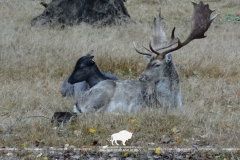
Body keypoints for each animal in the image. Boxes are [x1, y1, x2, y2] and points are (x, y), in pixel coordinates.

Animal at [68, 1, 218, 114]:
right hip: (102, 93)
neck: (169, 104)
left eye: (157, 64)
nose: (141, 77)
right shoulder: (136, 106)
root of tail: (78, 103)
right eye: (147, 63)